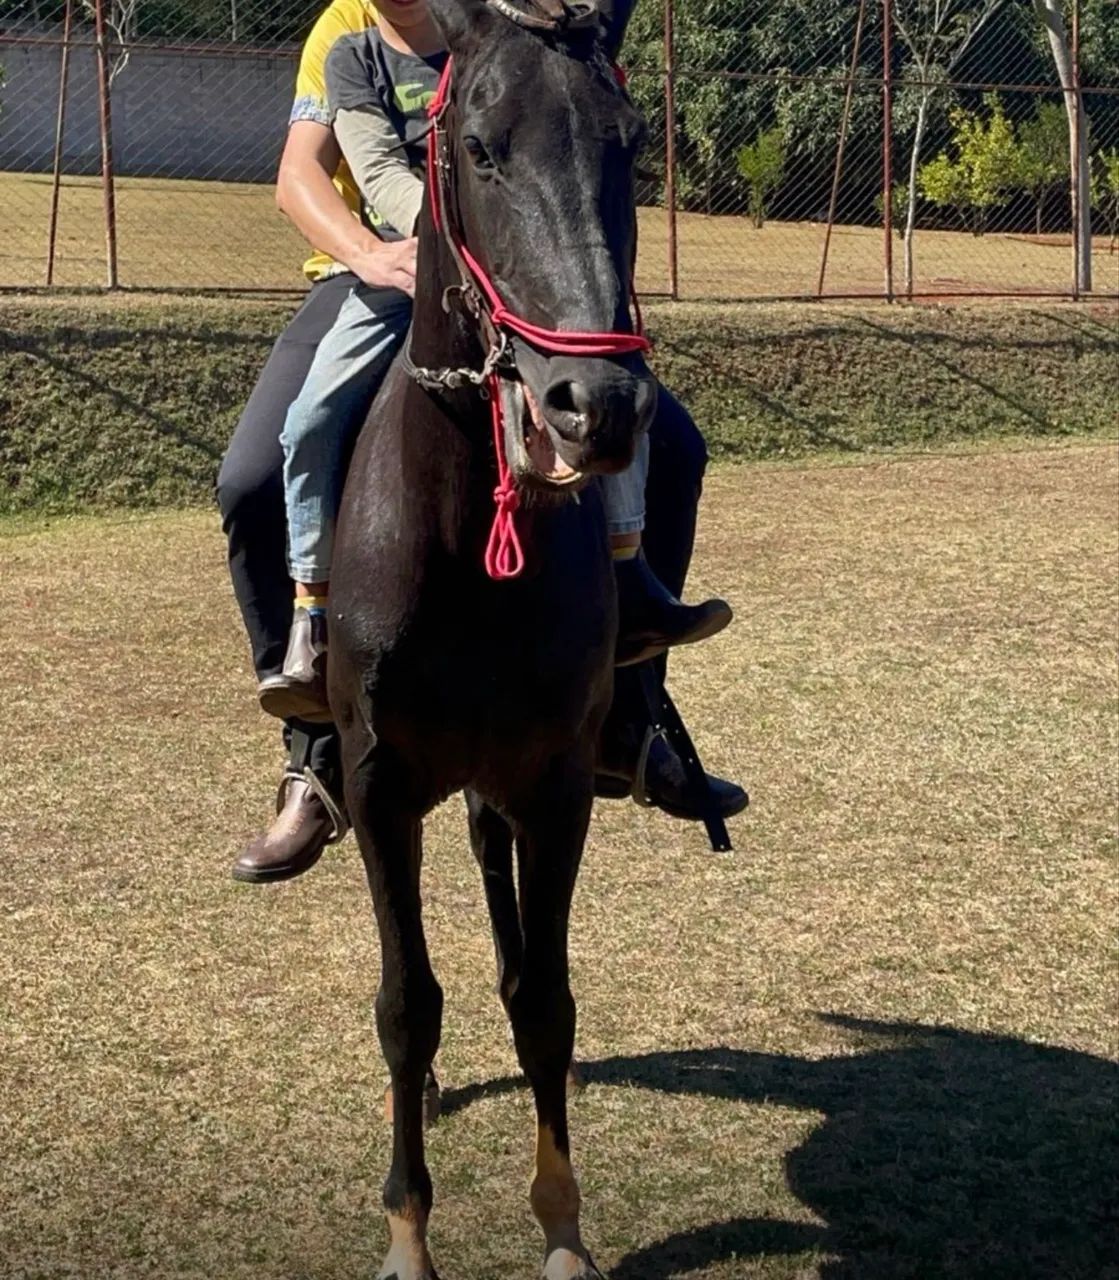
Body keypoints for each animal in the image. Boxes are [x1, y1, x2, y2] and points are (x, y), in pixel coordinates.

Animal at [328, 0, 651, 1275]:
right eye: (476, 147)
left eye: (631, 146)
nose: (594, 407)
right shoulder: (378, 786)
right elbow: (405, 1004)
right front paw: (407, 1228)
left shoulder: (554, 785)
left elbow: (546, 999)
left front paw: (562, 1222)